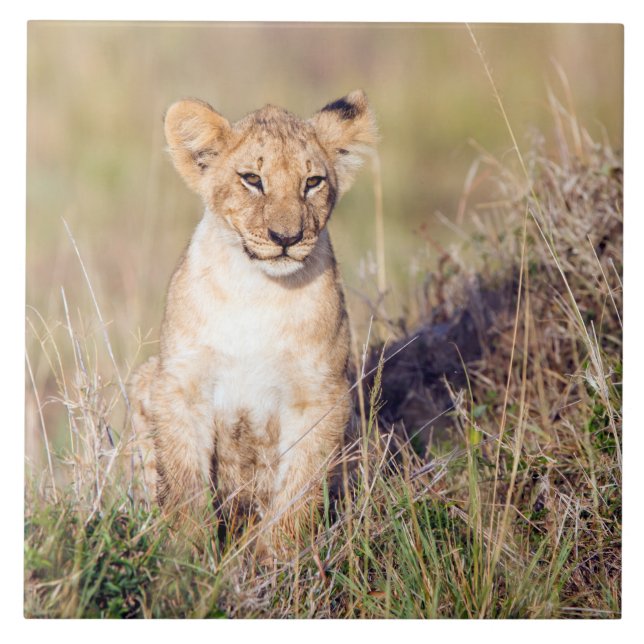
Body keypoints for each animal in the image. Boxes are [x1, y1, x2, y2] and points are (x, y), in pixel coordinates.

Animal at [129, 90, 377, 555]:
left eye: (312, 182)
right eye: (252, 179)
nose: (286, 238)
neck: (258, 291)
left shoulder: (321, 395)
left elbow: (298, 490)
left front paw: (278, 561)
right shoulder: (180, 384)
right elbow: (184, 484)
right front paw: (187, 558)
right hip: (144, 377)